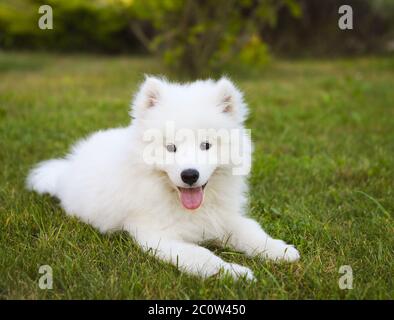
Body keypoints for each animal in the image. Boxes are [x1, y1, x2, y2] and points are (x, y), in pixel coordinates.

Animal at [26, 77, 298, 280]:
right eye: (171, 147)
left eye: (206, 145)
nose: (190, 175)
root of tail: (67, 167)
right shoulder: (158, 236)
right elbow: (202, 256)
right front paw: (236, 273)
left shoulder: (223, 218)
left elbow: (252, 232)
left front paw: (281, 251)